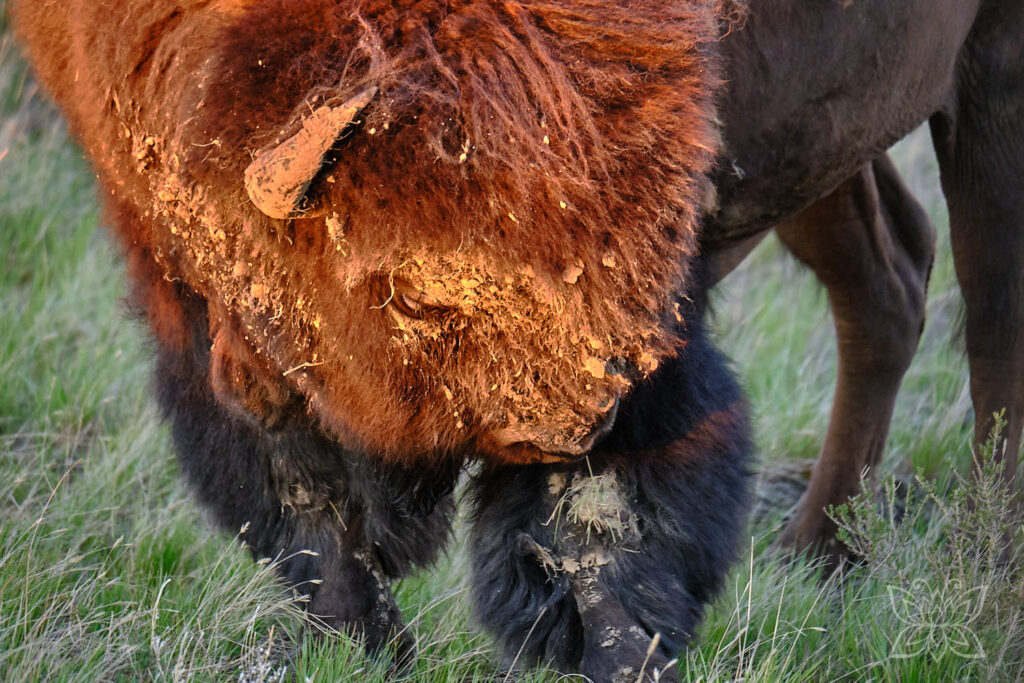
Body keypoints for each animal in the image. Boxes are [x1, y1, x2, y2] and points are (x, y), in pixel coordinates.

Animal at [11, 0, 1023, 681]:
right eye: (410, 282)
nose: (578, 414)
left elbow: (594, 526)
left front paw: (619, 653)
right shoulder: (185, 276)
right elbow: (306, 489)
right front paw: (355, 646)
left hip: (988, 79)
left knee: (991, 321)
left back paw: (987, 563)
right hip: (832, 150)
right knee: (887, 280)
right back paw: (817, 552)